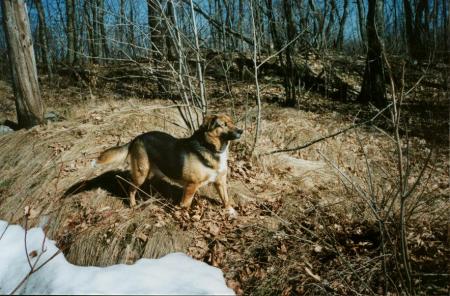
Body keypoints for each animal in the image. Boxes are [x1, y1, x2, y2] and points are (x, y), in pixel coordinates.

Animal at [95, 114, 243, 215]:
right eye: (223, 124)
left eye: (232, 122)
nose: (241, 131)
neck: (210, 147)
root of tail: (136, 138)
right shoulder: (191, 186)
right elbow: (185, 206)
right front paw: (184, 218)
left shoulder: (220, 182)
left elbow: (225, 199)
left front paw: (230, 211)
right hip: (141, 173)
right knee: (131, 189)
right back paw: (133, 205)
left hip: (155, 172)